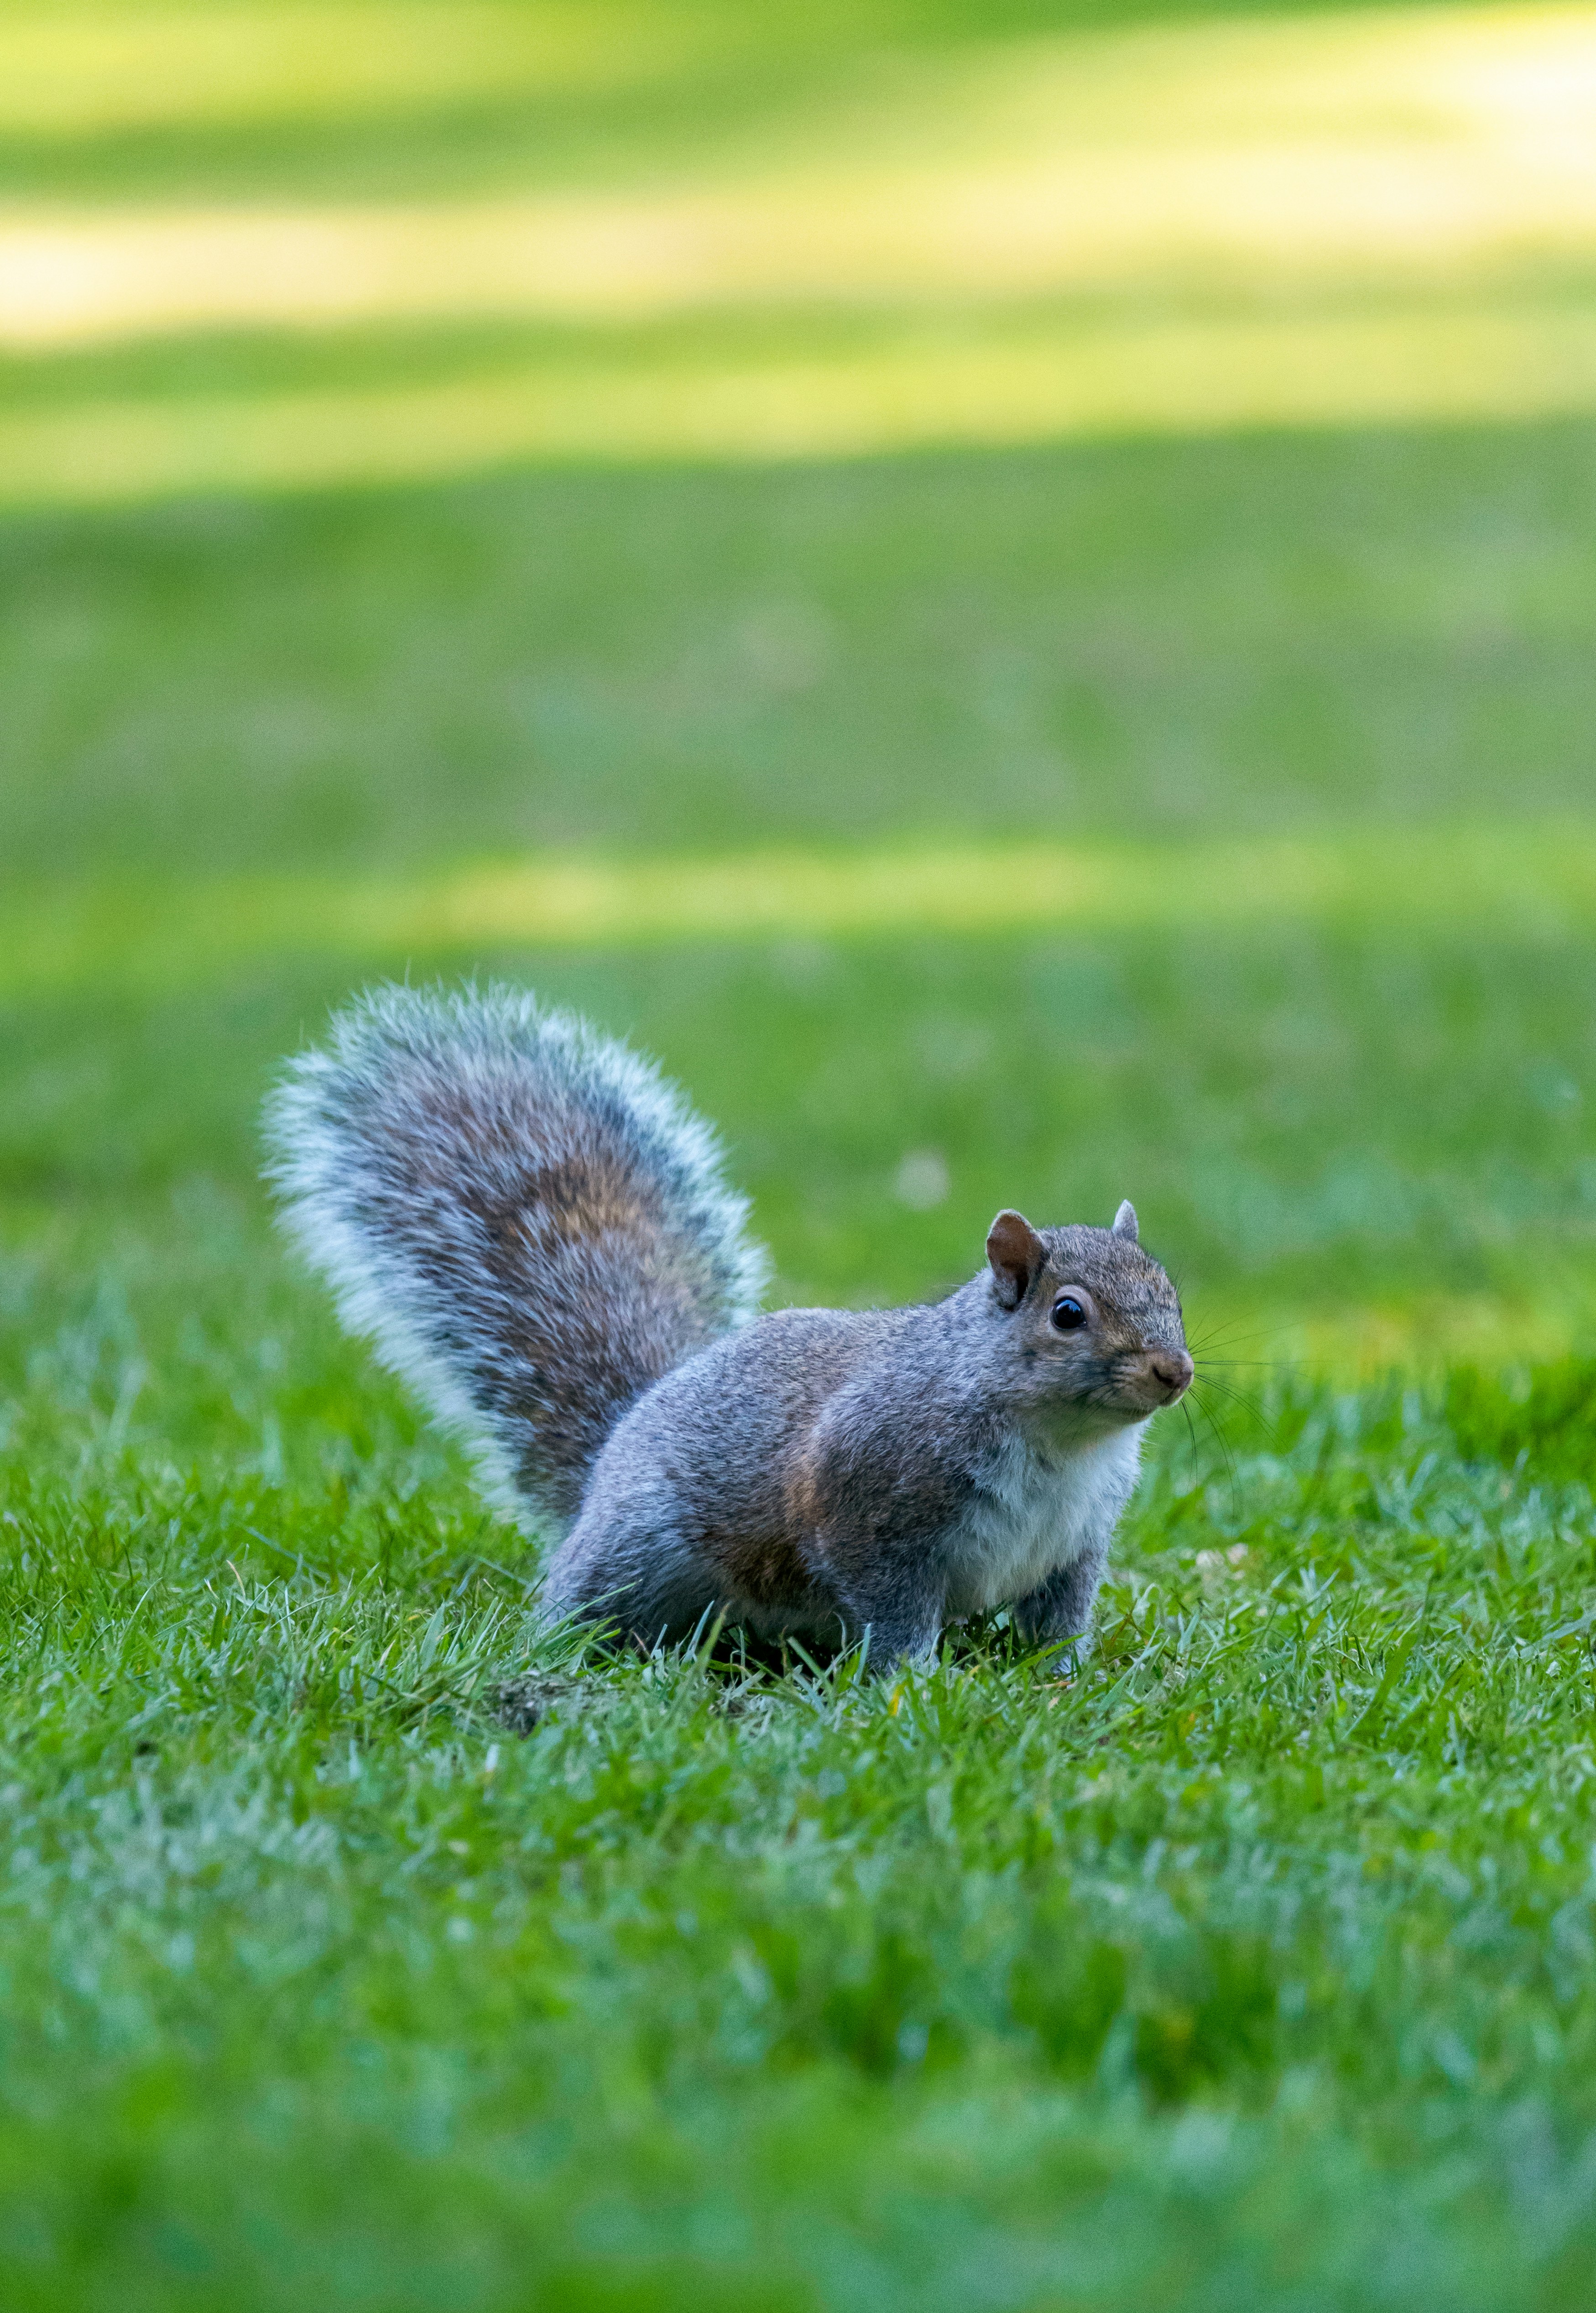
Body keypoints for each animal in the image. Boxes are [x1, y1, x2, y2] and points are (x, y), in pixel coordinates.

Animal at [265, 982, 1193, 1670]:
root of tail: (611, 1451)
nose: (1174, 1372)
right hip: (639, 1549)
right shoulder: (865, 1502)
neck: (1061, 1445)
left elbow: (1057, 1620)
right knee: (584, 1599)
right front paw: (914, 1681)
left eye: (1171, 1292)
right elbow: (890, 1610)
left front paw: (1065, 1677)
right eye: (1067, 1313)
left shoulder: (1075, 1541)